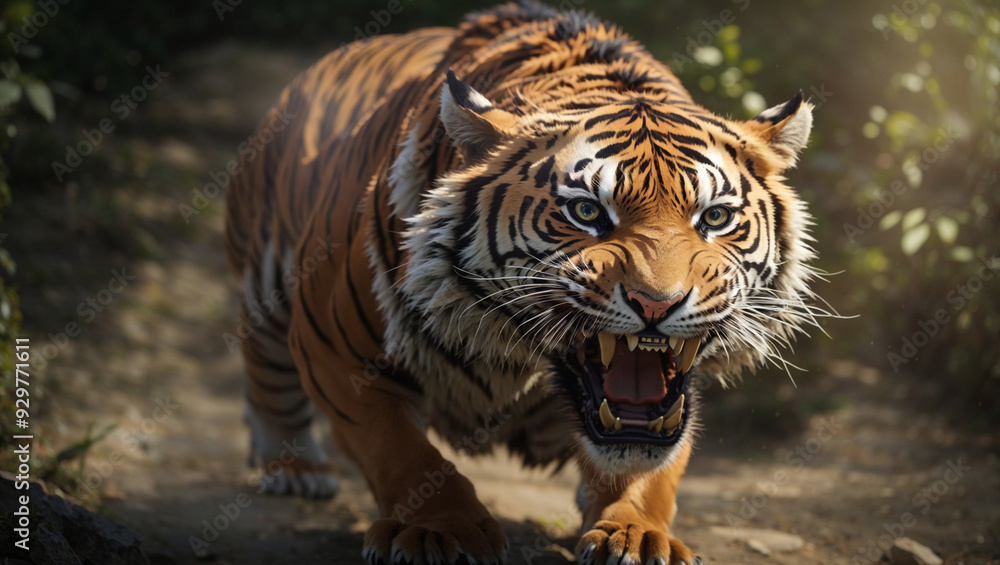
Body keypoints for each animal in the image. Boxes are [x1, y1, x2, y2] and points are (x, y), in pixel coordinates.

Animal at [223, 2, 821, 564]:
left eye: (714, 218)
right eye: (586, 211)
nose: (657, 303)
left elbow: (654, 468)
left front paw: (637, 535)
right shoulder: (337, 350)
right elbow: (402, 452)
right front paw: (442, 531)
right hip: (269, 279)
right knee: (263, 364)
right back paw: (296, 468)